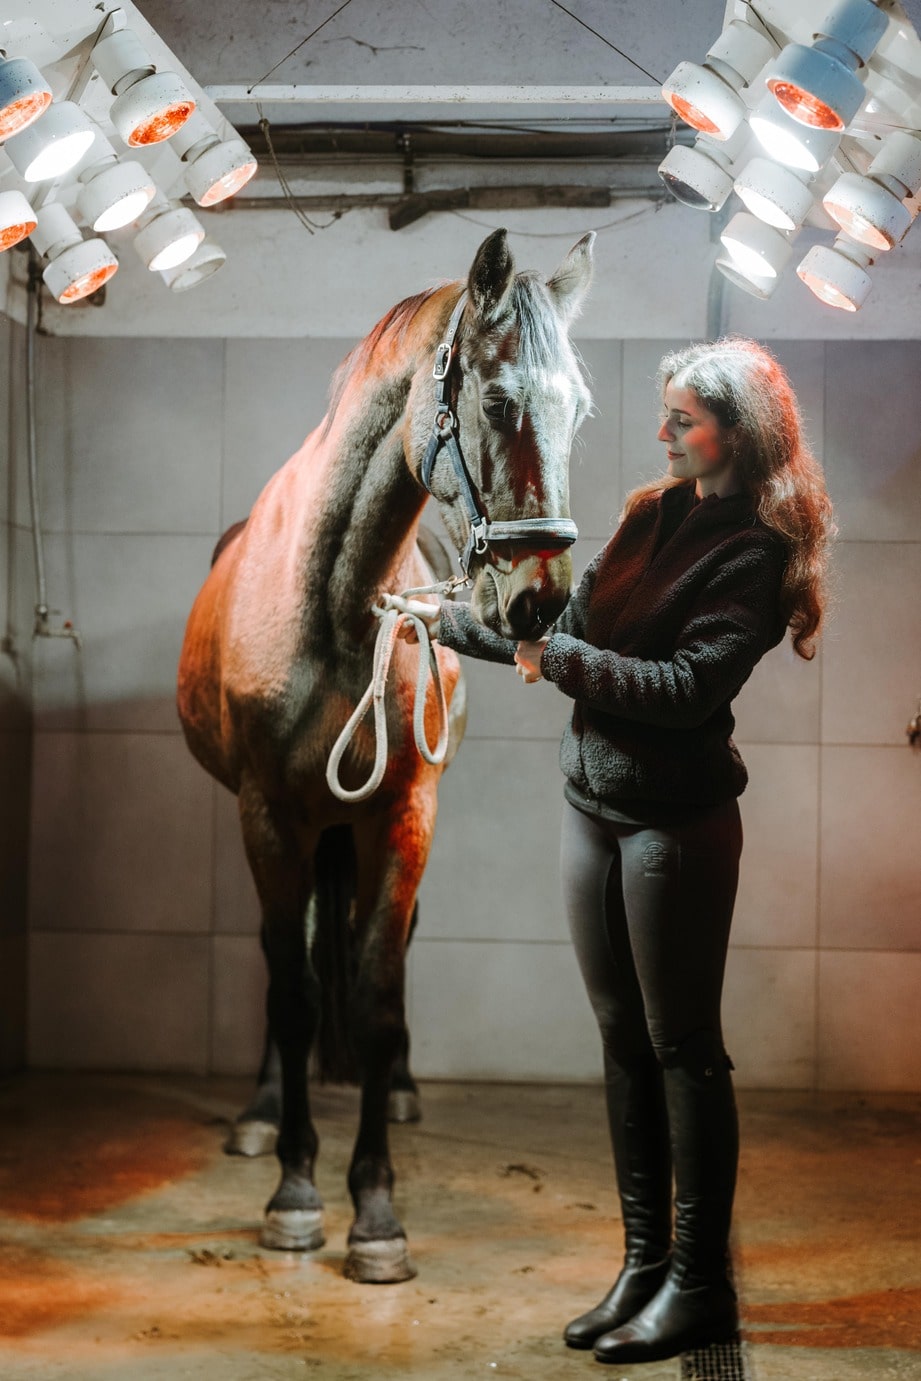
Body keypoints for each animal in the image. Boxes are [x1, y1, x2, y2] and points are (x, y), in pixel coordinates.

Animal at [176, 227, 594, 1283]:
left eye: (578, 410)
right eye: (499, 400)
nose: (540, 600)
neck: (335, 601)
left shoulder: (403, 813)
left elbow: (373, 992)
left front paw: (373, 1209)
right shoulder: (269, 816)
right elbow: (291, 988)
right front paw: (293, 1190)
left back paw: (396, 1091)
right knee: (279, 955)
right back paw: (260, 1111)